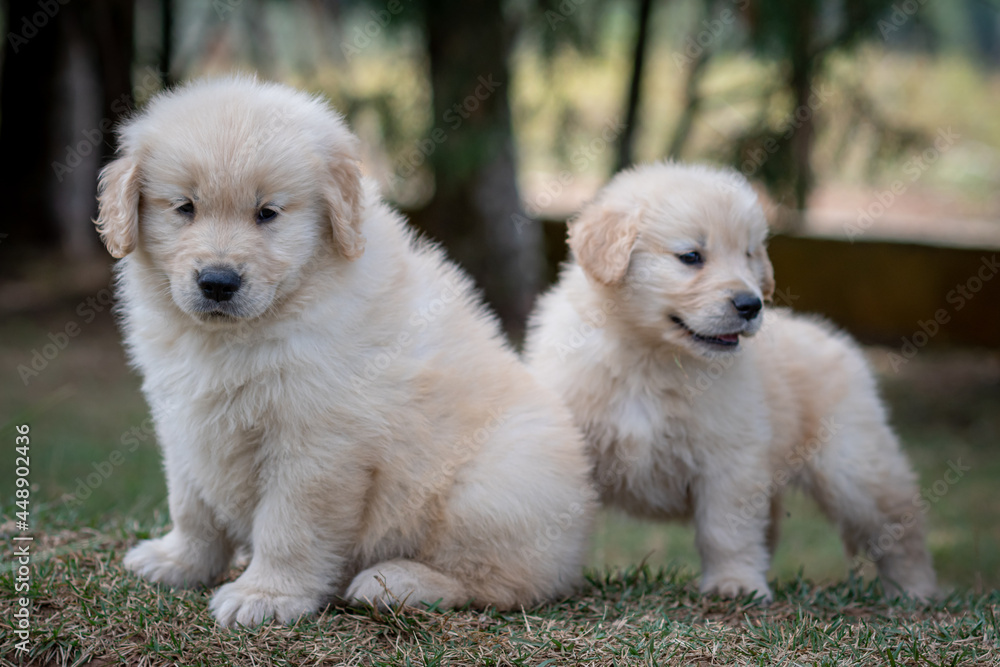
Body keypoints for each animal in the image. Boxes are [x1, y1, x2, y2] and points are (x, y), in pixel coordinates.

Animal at [94, 78, 592, 628]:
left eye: (267, 213)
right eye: (185, 207)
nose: (218, 282)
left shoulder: (319, 443)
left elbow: (289, 526)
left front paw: (266, 594)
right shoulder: (183, 419)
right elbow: (191, 505)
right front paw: (177, 561)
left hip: (490, 489)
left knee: (497, 581)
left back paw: (398, 583)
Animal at [524, 163, 936, 604]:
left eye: (748, 255)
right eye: (691, 257)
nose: (751, 304)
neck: (650, 356)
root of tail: (832, 337)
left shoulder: (730, 457)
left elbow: (726, 530)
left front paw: (734, 583)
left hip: (855, 468)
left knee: (900, 527)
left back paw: (915, 589)